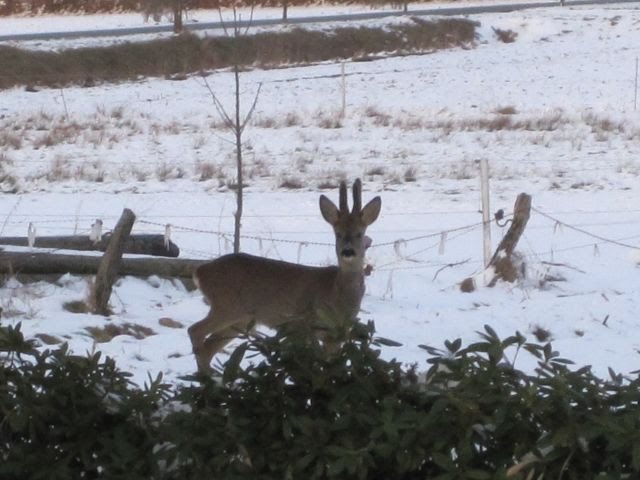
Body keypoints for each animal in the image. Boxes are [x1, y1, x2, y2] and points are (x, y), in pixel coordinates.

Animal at [189, 179, 380, 372]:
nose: (348, 251)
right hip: (226, 306)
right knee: (195, 330)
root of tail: (200, 271)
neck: (335, 293)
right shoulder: (305, 324)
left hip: (241, 319)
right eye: (337, 233)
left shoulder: (335, 336)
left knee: (209, 347)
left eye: (359, 233)